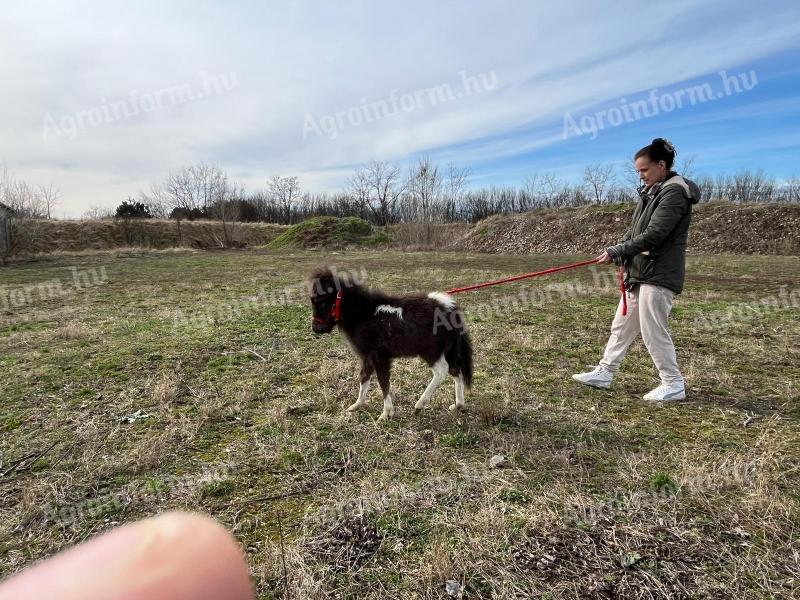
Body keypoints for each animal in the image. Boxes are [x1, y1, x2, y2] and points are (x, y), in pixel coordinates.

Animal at [304, 264, 468, 420]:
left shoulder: (379, 357)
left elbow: (383, 382)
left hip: (431, 351)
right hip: (448, 350)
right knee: (455, 370)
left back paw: (420, 404)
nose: (316, 328)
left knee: (442, 371)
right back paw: (457, 405)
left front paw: (386, 413)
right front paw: (356, 405)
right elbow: (364, 377)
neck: (364, 314)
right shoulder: (367, 356)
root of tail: (448, 308)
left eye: (321, 301)